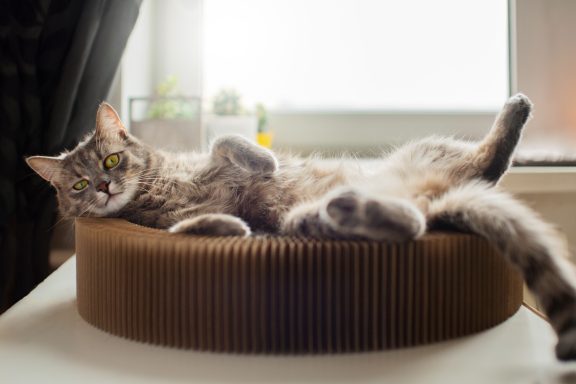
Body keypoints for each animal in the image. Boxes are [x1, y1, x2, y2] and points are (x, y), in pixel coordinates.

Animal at [29, 94, 576, 362]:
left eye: (112, 160)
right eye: (78, 185)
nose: (103, 187)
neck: (160, 185)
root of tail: (436, 199)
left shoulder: (207, 156)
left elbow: (228, 139)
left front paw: (263, 160)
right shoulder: (162, 226)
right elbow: (191, 227)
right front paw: (229, 224)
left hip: (431, 148)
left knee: (489, 162)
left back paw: (516, 108)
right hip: (319, 215)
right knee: (420, 218)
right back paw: (356, 210)